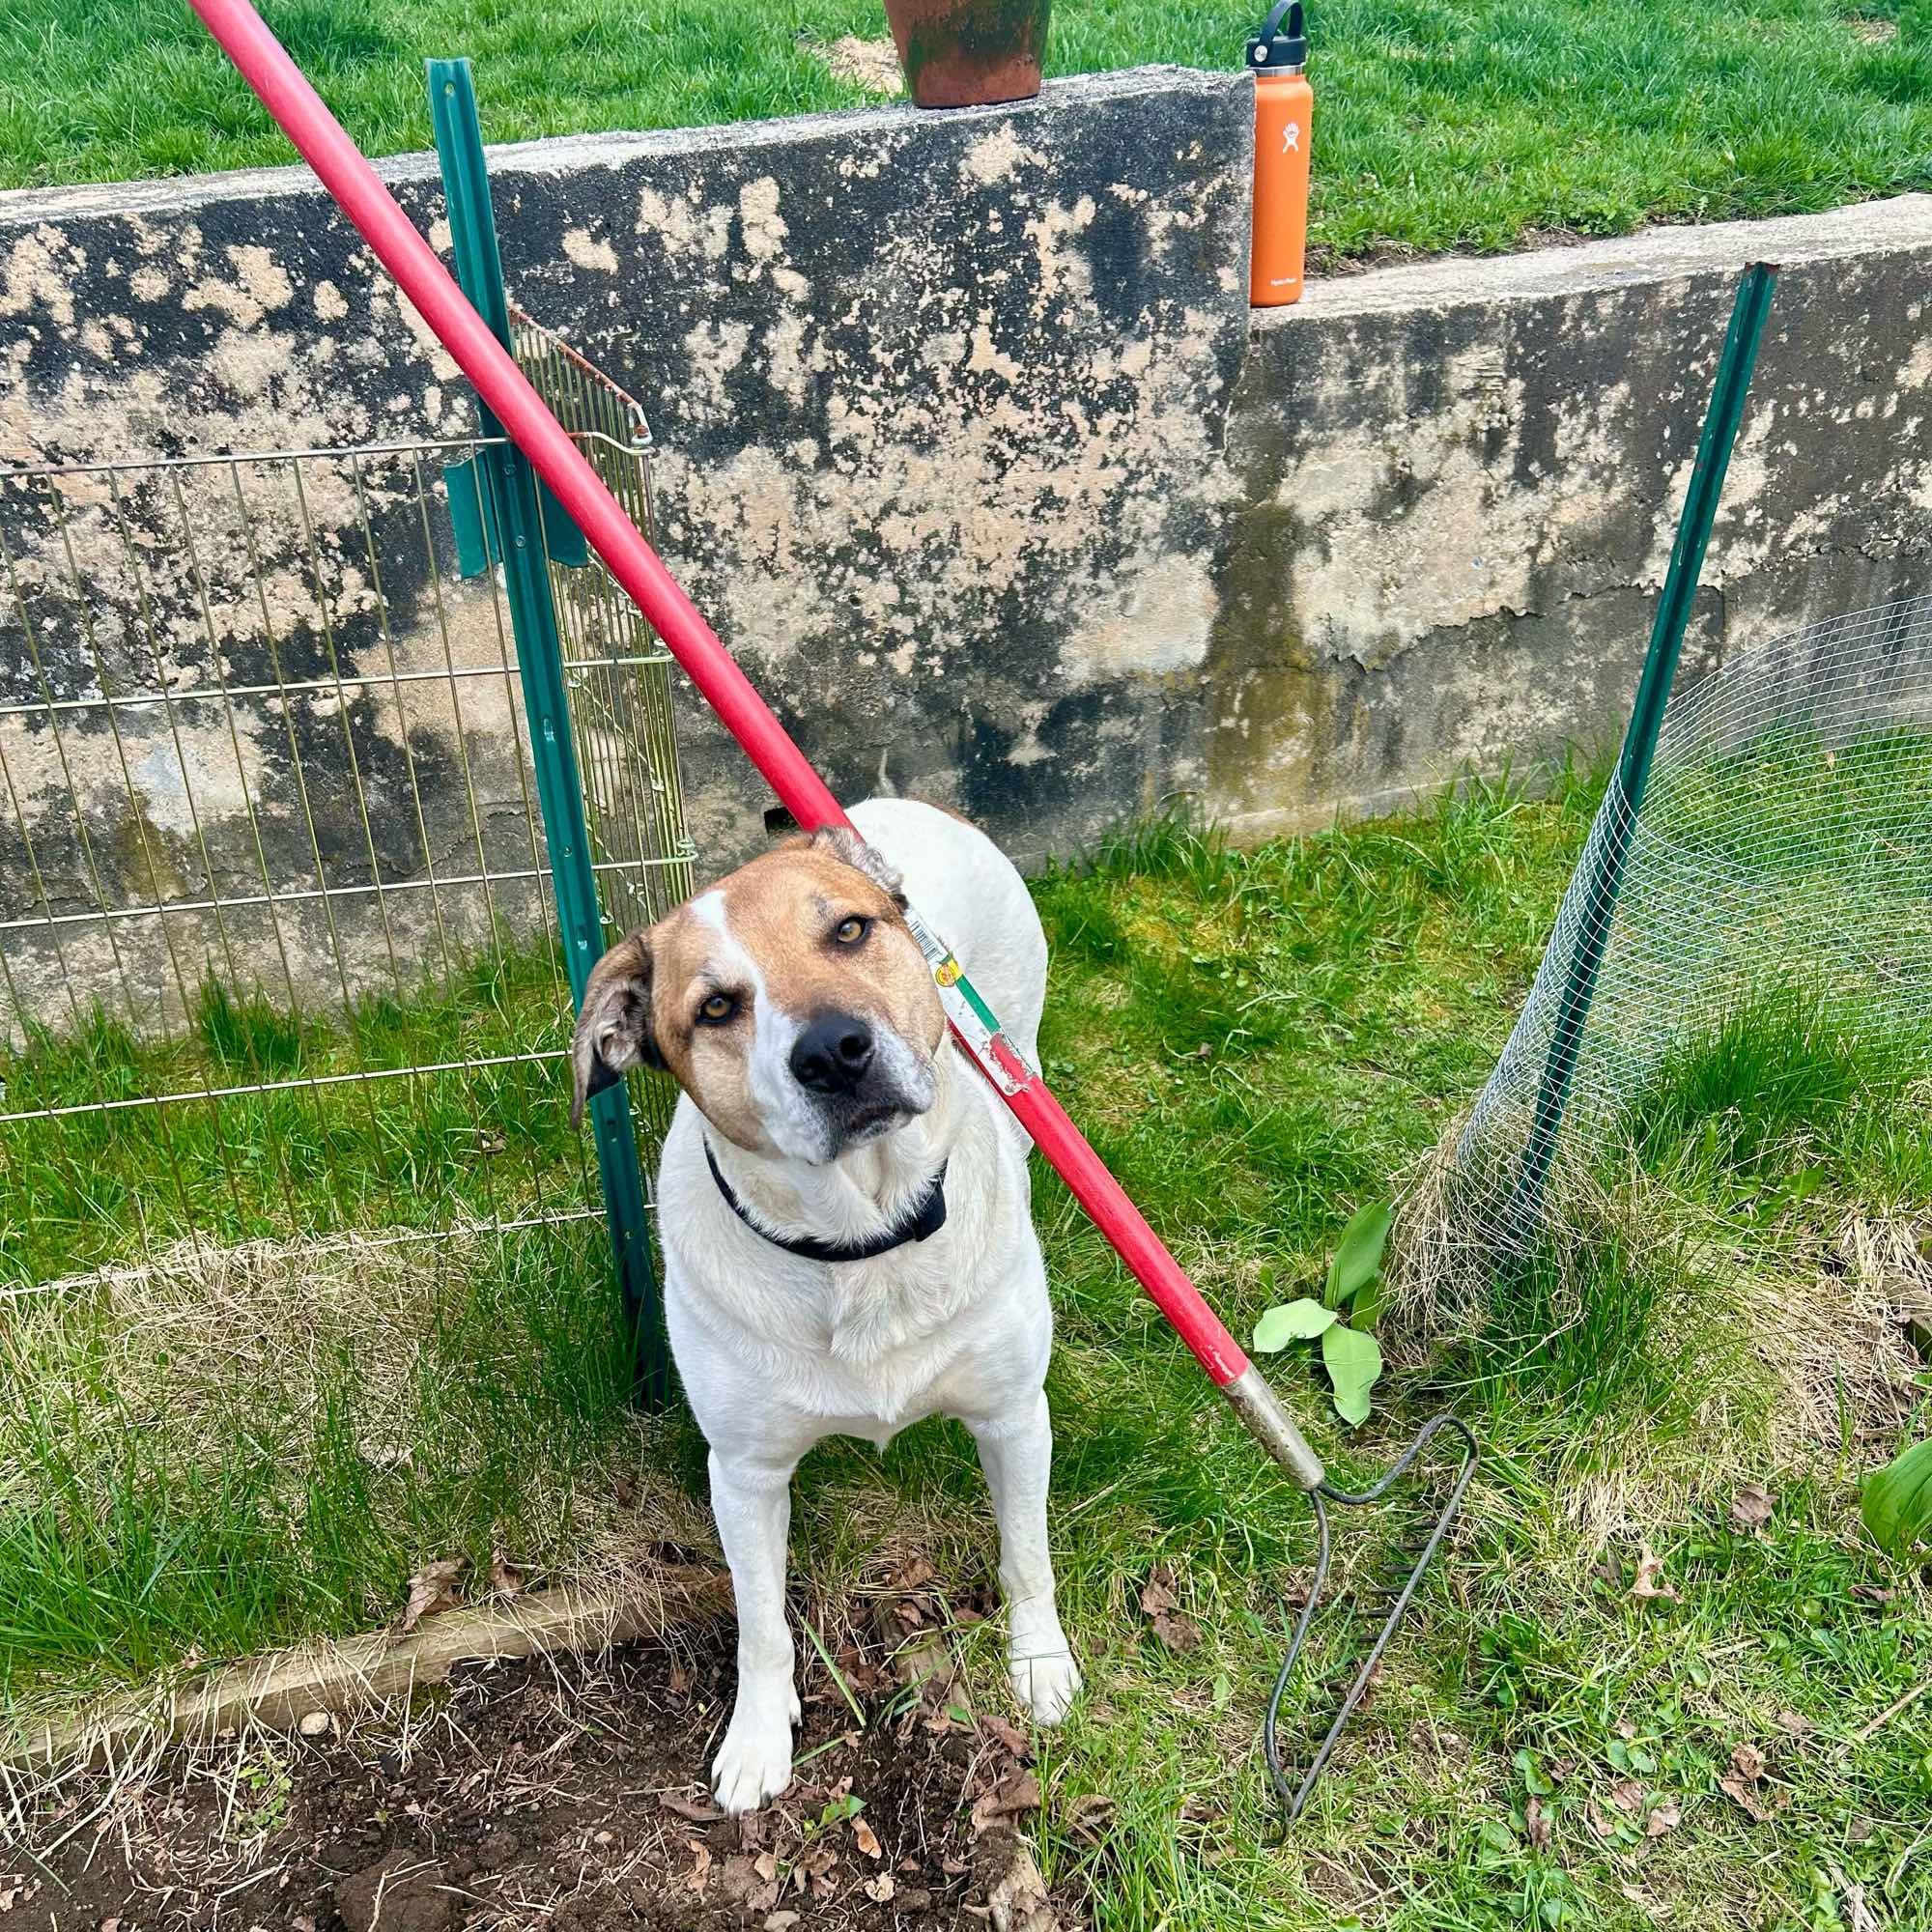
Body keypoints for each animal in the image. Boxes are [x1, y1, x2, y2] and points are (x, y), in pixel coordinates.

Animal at [572, 796, 1090, 1808]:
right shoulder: (743, 1473)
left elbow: (1027, 1555)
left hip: (1018, 1042)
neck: (866, 1240)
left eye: (847, 931)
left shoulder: (1015, 1414)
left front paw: (1039, 1664)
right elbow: (761, 1623)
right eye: (717, 1007)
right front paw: (757, 1739)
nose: (834, 1052)